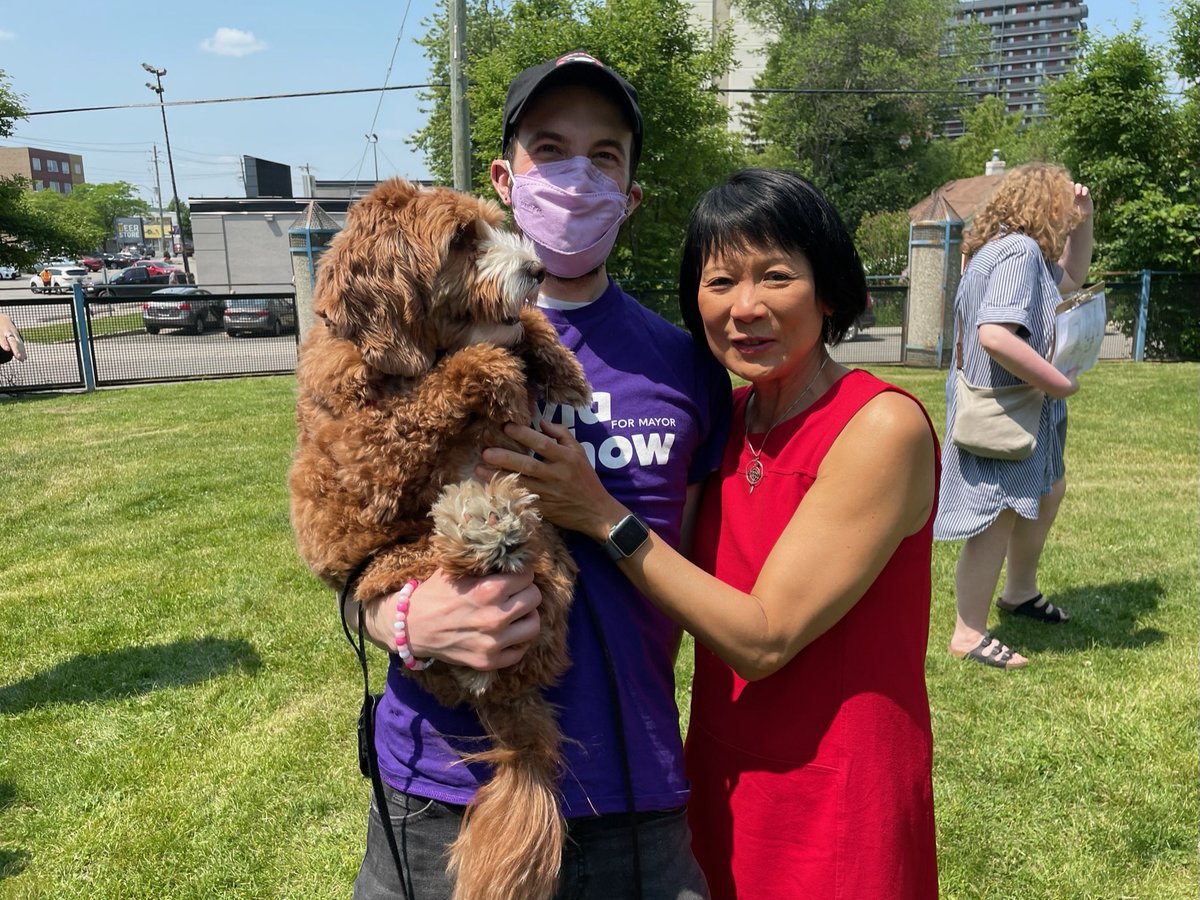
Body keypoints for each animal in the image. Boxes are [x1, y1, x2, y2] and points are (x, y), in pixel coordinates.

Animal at [290, 180, 590, 897]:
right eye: (461, 240)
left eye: (494, 223)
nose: (536, 270)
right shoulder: (367, 456)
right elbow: (433, 396)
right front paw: (493, 368)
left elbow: (523, 330)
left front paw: (559, 363)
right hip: (398, 565)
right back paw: (479, 524)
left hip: (551, 555)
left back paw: (496, 523)